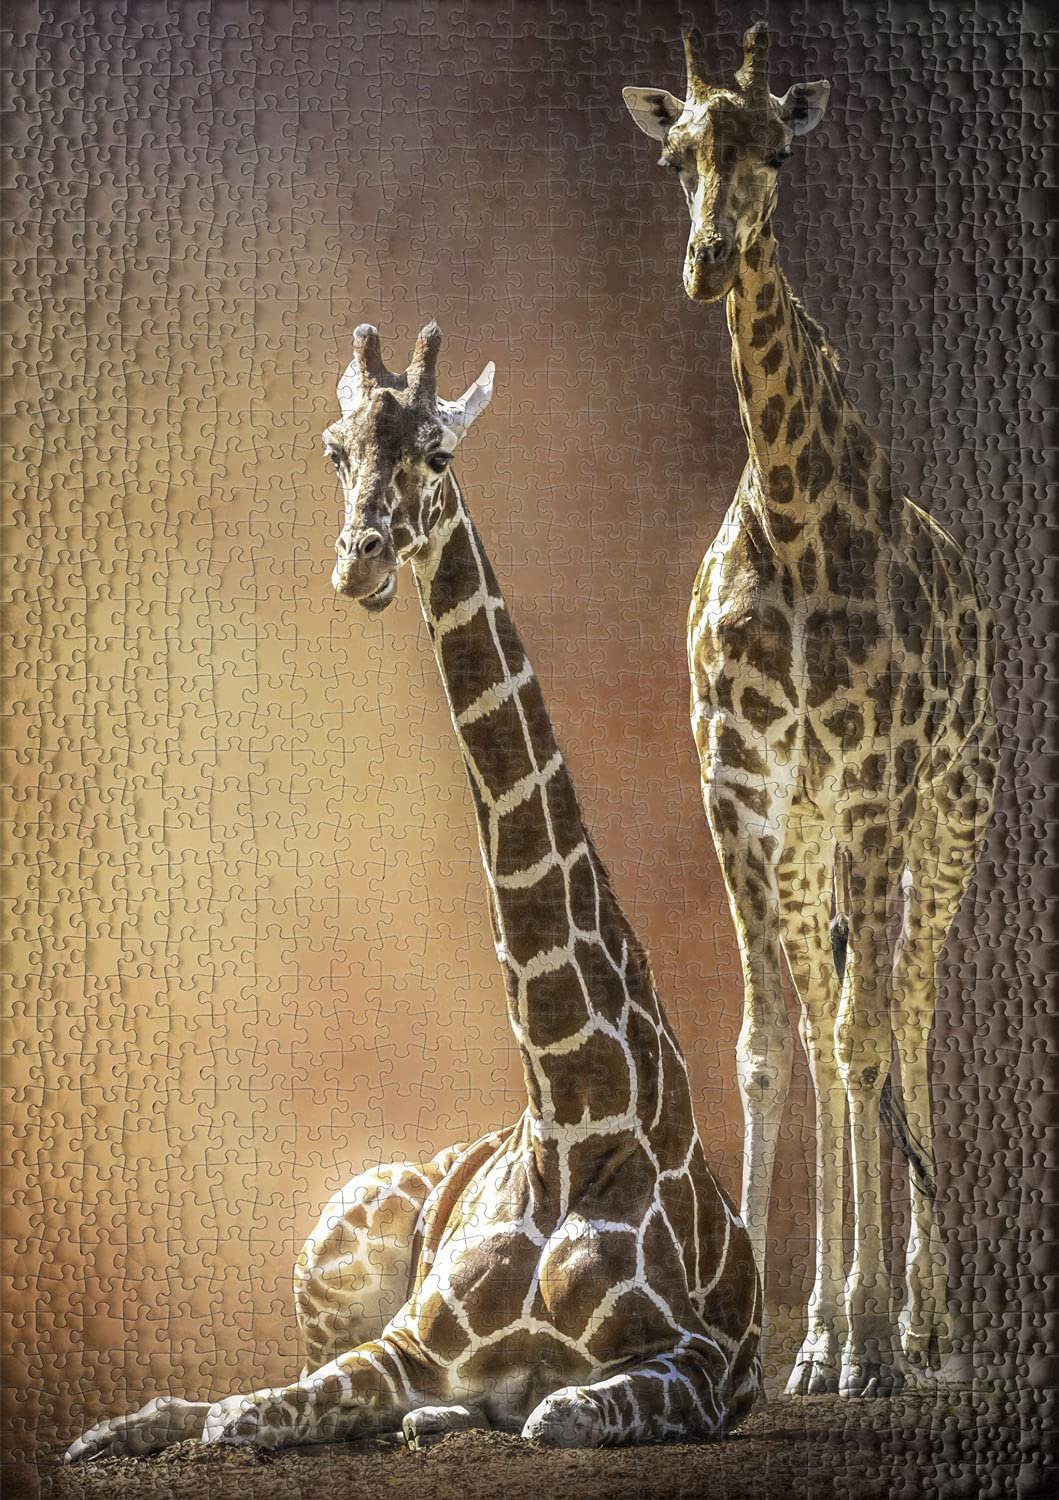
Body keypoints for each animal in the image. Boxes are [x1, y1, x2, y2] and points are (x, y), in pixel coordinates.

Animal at [66, 323, 761, 1461]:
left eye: (438, 452)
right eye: (334, 449)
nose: (362, 561)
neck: (577, 1116)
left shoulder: (702, 1366)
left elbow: (555, 1411)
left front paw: (472, 1412)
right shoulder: (402, 1343)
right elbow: (250, 1411)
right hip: (334, 1231)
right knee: (255, 1381)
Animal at [623, 25, 998, 1398]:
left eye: (777, 153)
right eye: (678, 154)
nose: (707, 261)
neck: (791, 514)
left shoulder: (881, 783)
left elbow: (869, 1037)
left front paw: (880, 1342)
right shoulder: (738, 793)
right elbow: (770, 1050)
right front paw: (779, 1340)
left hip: (947, 822)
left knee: (912, 1015)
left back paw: (926, 1328)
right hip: (815, 846)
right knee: (839, 1038)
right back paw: (833, 1329)